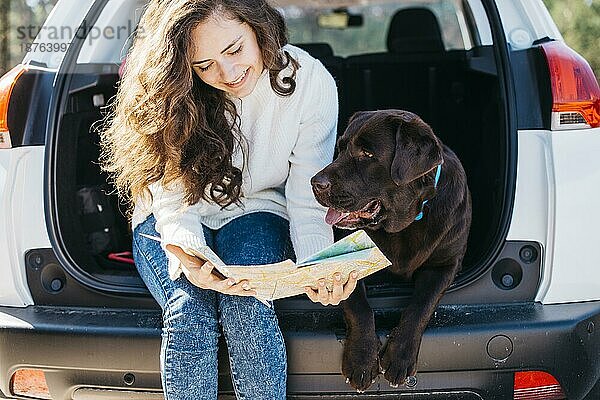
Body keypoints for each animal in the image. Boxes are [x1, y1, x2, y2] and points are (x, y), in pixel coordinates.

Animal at [312, 109, 472, 390]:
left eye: (366, 154)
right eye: (340, 149)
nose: (314, 182)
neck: (403, 223)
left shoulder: (445, 264)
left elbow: (421, 306)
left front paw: (399, 357)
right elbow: (359, 307)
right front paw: (362, 360)